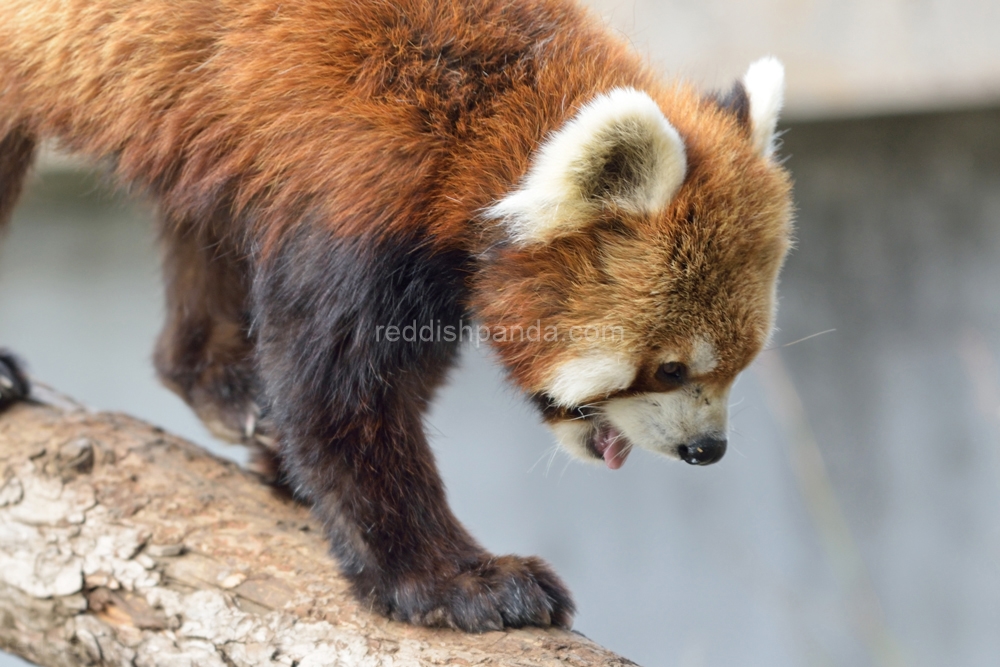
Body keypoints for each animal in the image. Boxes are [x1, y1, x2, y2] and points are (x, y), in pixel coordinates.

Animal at [1, 0, 796, 632]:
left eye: (741, 365)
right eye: (670, 368)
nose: (707, 449)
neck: (484, 116)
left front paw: (281, 453)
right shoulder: (358, 183)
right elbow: (341, 401)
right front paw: (459, 581)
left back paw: (223, 387)